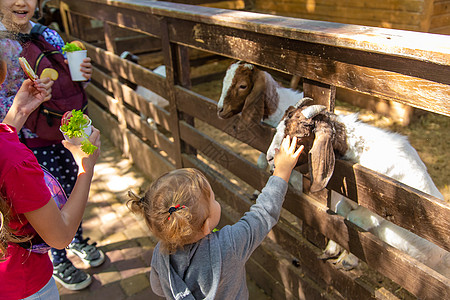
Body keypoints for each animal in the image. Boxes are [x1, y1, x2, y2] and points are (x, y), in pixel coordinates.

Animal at [266, 101, 448, 276]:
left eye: (298, 136)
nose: (270, 158)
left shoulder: (374, 211)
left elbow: (355, 223)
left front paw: (347, 261)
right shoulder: (347, 202)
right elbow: (340, 215)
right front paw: (332, 250)